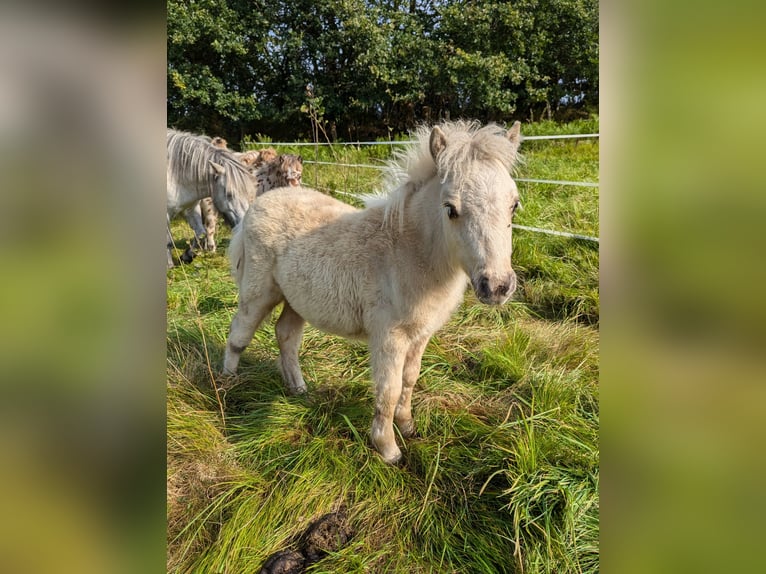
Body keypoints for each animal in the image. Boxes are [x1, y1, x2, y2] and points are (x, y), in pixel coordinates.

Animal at [166, 128, 255, 268]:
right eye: (229, 194)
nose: (244, 227)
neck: (174, 176)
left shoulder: (191, 208)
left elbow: (201, 233)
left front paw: (186, 256)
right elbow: (168, 242)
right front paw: (169, 265)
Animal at [222, 120, 520, 464]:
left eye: (514, 204)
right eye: (450, 209)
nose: (496, 286)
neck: (409, 252)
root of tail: (258, 204)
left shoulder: (421, 333)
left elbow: (409, 379)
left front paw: (408, 426)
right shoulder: (389, 336)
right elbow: (388, 390)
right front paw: (388, 449)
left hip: (297, 299)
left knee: (286, 335)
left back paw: (298, 389)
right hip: (258, 291)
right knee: (239, 333)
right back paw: (225, 386)